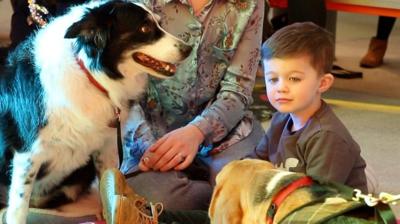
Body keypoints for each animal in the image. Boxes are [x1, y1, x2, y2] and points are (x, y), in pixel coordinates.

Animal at [0, 0, 191, 223]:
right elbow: (19, 207)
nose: (188, 49)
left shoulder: (106, 145)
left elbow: (109, 187)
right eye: (144, 28)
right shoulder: (28, 154)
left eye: (159, 23)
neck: (91, 74)